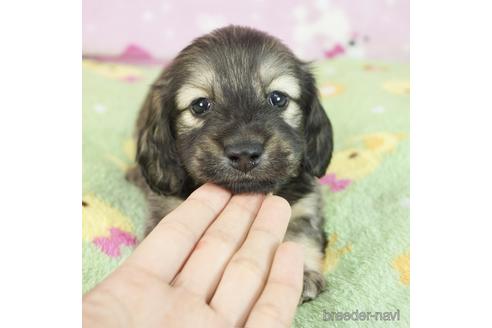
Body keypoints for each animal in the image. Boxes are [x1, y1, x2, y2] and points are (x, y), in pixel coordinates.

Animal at [127, 25, 334, 302]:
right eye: (200, 105)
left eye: (278, 98)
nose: (244, 153)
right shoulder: (166, 207)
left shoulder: (303, 204)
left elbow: (299, 235)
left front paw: (301, 272)